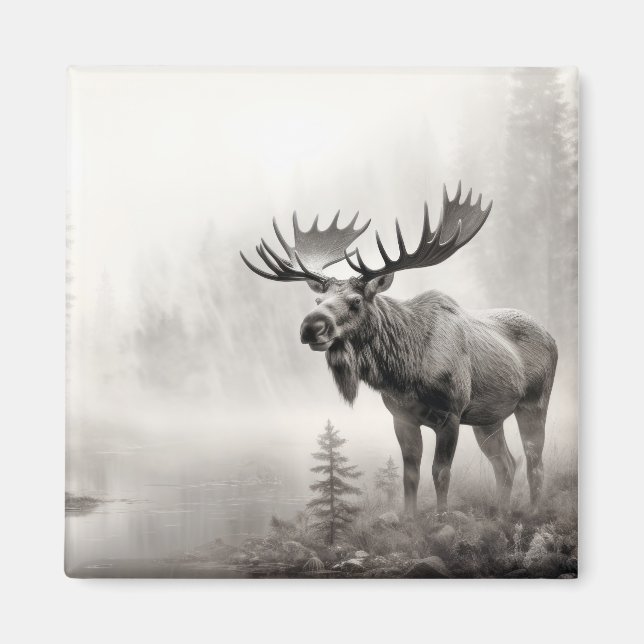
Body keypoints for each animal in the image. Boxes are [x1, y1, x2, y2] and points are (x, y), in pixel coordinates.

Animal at [240, 182, 557, 516]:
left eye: (356, 301)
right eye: (318, 300)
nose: (310, 327)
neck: (405, 372)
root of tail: (551, 336)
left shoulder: (451, 413)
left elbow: (440, 472)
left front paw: (441, 516)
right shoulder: (401, 416)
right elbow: (410, 474)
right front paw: (409, 516)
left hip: (534, 402)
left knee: (534, 460)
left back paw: (533, 511)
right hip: (488, 418)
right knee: (506, 463)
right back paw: (501, 512)